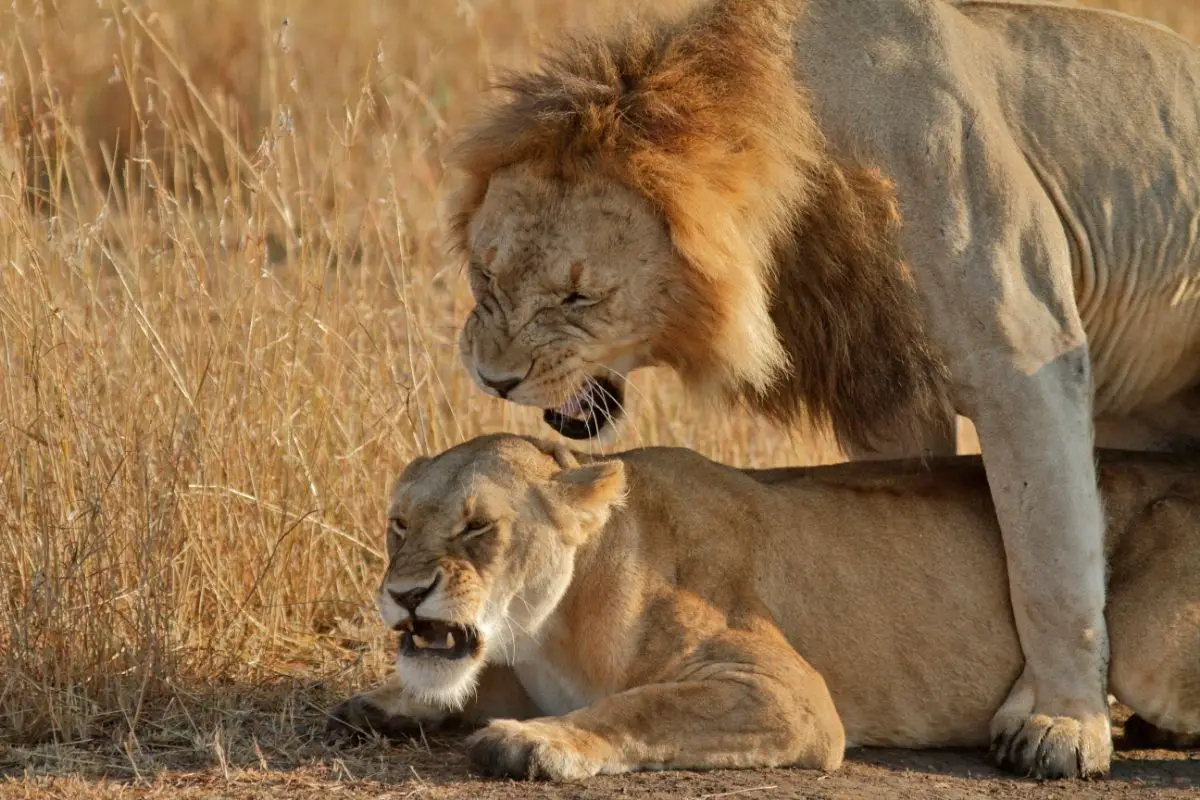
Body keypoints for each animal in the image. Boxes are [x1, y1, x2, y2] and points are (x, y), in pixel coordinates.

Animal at [328, 438, 1200, 782]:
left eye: (477, 527)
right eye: (399, 524)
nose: (403, 594)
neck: (552, 629)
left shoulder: (788, 694)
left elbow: (641, 705)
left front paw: (535, 741)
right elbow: (467, 682)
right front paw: (391, 700)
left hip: (1148, 642)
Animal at [446, 0, 1200, 777]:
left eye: (579, 297)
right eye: (485, 273)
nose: (495, 379)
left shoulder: (1027, 355)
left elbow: (1051, 565)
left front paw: (1062, 726)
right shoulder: (887, 391)